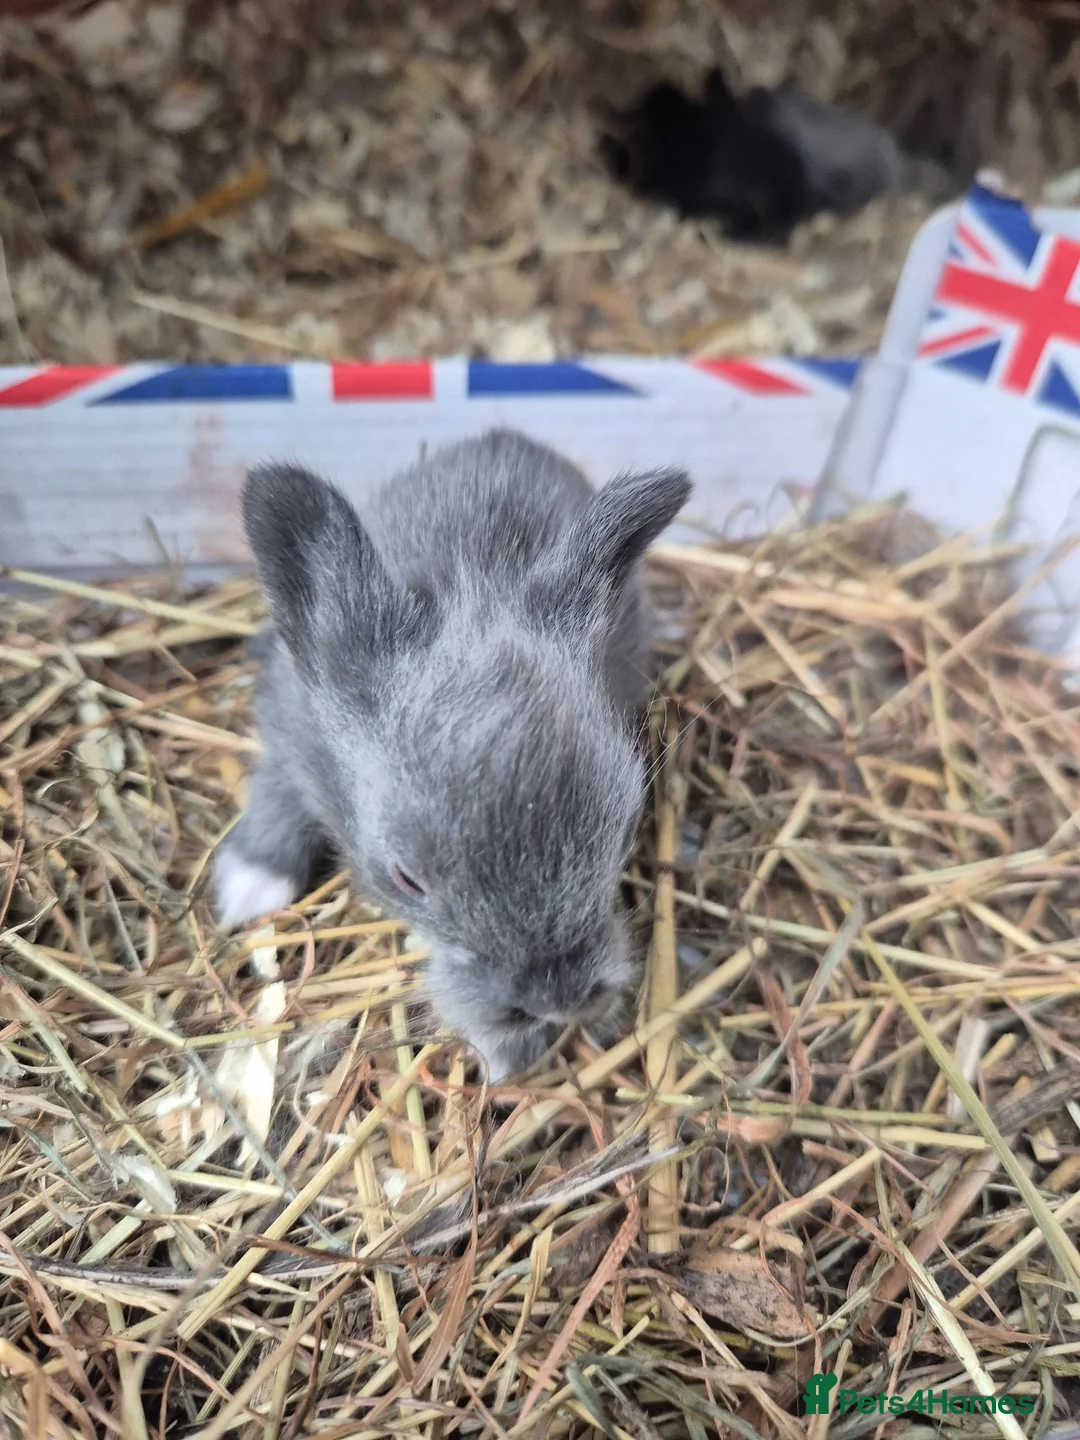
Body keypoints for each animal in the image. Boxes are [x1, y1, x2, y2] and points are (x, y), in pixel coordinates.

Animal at [214, 429, 691, 1081]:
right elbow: (275, 798)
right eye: (406, 879)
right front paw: (247, 887)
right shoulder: (286, 732)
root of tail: (504, 436)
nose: (558, 1000)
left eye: (623, 834)